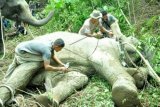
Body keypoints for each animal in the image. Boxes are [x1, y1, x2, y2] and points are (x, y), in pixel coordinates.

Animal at [0, 31, 158, 107]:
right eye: (133, 50)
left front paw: (140, 77)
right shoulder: (103, 50)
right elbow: (106, 63)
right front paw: (126, 96)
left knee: (80, 77)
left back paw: (44, 100)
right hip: (27, 54)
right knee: (21, 75)